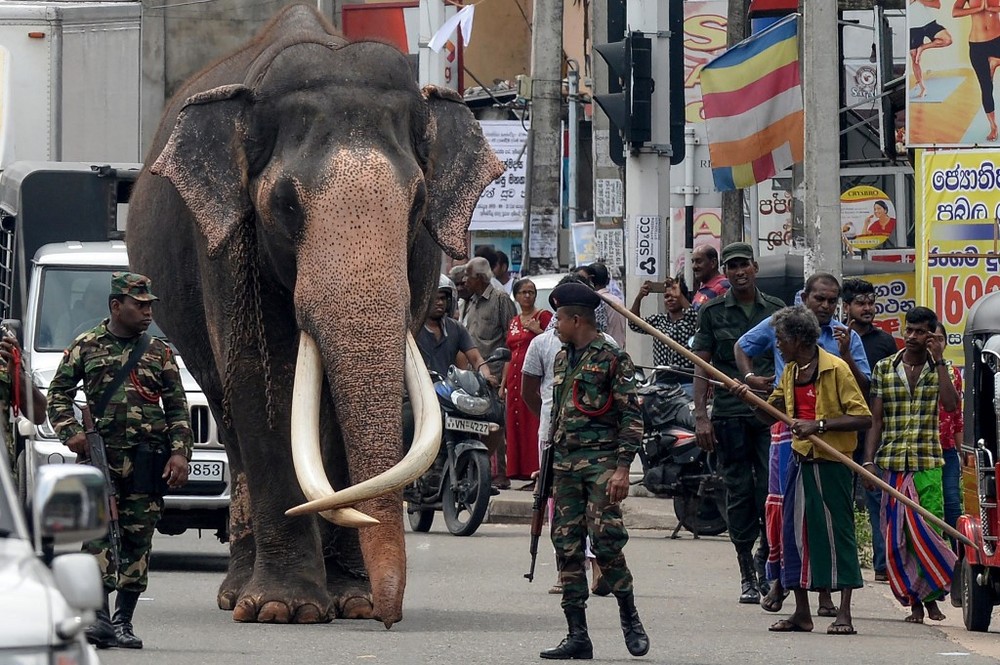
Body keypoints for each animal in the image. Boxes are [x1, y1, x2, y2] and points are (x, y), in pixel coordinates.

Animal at [127, 3, 500, 628]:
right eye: (284, 203)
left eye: (419, 203)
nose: (389, 616)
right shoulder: (227, 249)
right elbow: (264, 381)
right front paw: (285, 608)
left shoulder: (422, 257)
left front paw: (353, 602)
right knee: (228, 413)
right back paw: (237, 595)